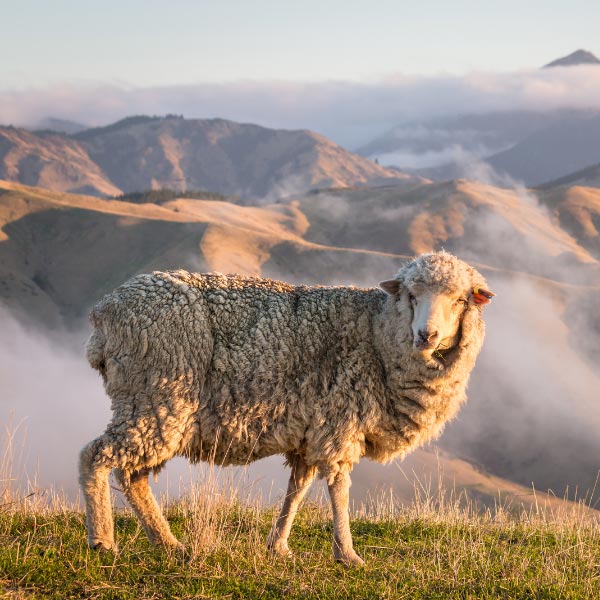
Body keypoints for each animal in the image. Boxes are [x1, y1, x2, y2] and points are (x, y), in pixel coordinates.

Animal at [79, 251, 492, 564]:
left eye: (460, 300)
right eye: (410, 295)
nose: (427, 335)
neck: (378, 334)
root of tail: (103, 314)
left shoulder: (311, 429)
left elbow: (298, 489)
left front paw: (278, 545)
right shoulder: (340, 422)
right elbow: (339, 489)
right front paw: (347, 554)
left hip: (153, 407)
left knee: (132, 476)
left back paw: (167, 542)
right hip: (157, 397)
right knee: (95, 456)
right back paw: (103, 540)